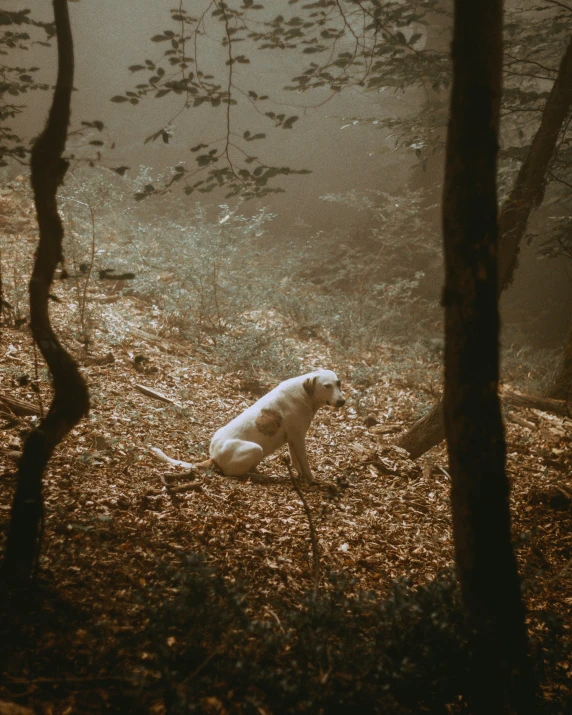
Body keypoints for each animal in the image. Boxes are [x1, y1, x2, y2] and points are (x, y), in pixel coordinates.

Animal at [150, 370, 344, 482]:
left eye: (339, 383)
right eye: (326, 386)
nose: (342, 401)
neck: (305, 392)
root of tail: (214, 457)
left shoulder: (293, 440)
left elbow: (297, 463)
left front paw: (301, 477)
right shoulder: (298, 439)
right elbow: (305, 463)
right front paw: (312, 480)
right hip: (256, 449)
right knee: (236, 474)